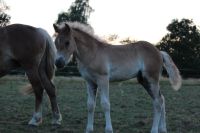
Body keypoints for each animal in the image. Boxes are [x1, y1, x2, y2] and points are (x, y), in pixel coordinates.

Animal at [53, 22, 181, 132]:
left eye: (67, 42)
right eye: (55, 43)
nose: (58, 63)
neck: (92, 53)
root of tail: (159, 52)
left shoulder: (103, 79)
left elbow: (105, 104)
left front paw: (109, 129)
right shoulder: (90, 82)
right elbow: (90, 105)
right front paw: (88, 129)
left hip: (151, 79)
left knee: (158, 102)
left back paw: (154, 130)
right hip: (144, 81)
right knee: (161, 99)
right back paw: (163, 129)